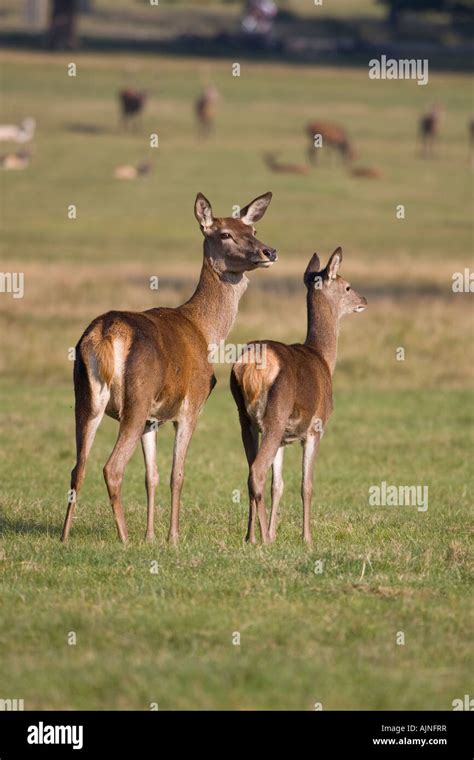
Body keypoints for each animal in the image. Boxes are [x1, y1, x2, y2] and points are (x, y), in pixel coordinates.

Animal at [63, 193, 278, 544]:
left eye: (253, 229)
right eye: (225, 234)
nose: (268, 251)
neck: (205, 332)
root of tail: (105, 333)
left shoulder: (152, 419)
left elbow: (151, 474)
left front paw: (151, 536)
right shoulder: (192, 402)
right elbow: (177, 474)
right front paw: (172, 537)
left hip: (85, 397)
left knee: (77, 467)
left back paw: (66, 535)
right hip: (135, 398)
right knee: (112, 467)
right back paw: (124, 538)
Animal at [231, 249, 368, 548]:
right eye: (347, 286)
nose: (364, 300)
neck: (324, 359)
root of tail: (250, 366)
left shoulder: (285, 436)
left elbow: (278, 485)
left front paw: (274, 531)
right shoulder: (316, 427)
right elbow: (307, 485)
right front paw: (307, 538)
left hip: (245, 418)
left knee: (250, 473)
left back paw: (251, 536)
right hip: (275, 413)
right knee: (257, 472)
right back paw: (263, 540)